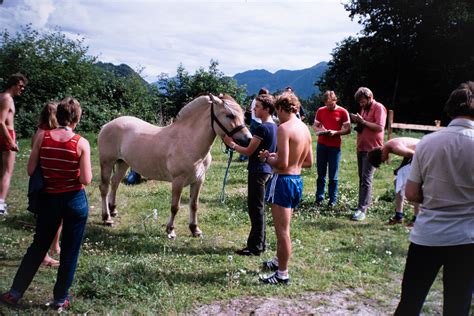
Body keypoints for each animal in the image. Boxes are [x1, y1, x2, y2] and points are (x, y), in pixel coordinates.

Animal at [97, 94, 252, 237]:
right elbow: (175, 207)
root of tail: (106, 125)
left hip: (122, 163)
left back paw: (113, 210)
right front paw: (170, 230)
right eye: (230, 115)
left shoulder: (198, 180)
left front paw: (195, 229)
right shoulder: (178, 181)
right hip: (106, 163)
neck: (188, 140)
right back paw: (107, 218)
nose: (248, 140)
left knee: (115, 183)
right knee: (104, 188)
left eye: (243, 115)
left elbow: (194, 205)